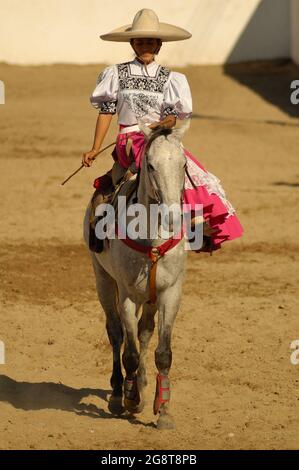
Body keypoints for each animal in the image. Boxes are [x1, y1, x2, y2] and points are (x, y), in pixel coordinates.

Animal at [84, 120, 192, 430]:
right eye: (151, 165)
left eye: (183, 165)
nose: (172, 217)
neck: (151, 237)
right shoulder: (128, 295)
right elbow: (129, 352)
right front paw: (131, 400)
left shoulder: (170, 293)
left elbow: (163, 352)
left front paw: (163, 409)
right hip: (103, 281)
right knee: (116, 333)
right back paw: (118, 393)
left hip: (151, 296)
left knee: (145, 332)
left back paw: (142, 384)